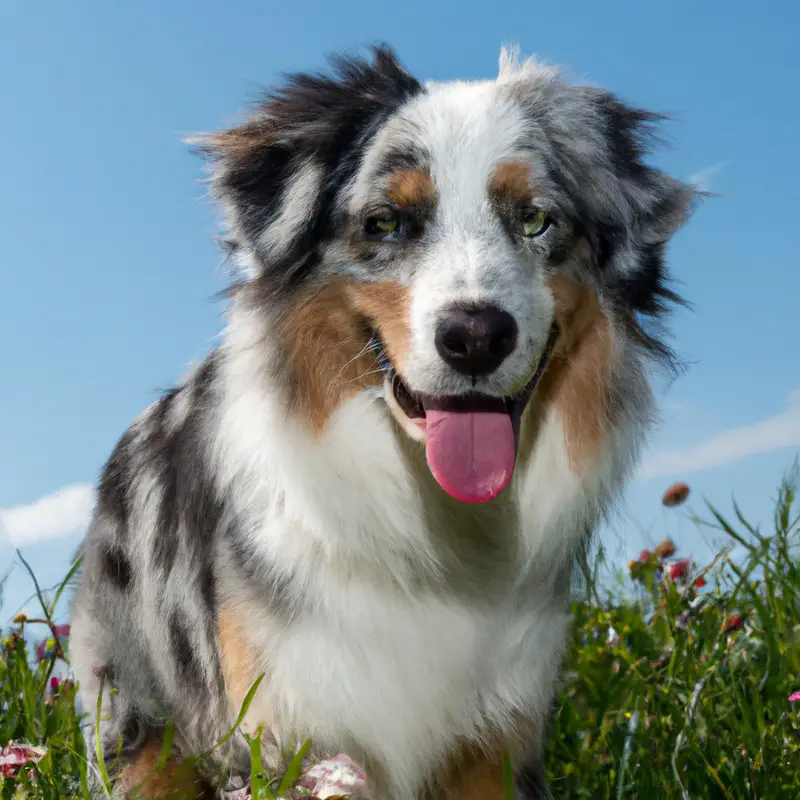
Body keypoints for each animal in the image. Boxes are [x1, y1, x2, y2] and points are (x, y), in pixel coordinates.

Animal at [67, 45, 692, 800]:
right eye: (387, 222)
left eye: (536, 219)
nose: (476, 338)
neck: (436, 528)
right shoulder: (288, 729)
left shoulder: (496, 732)